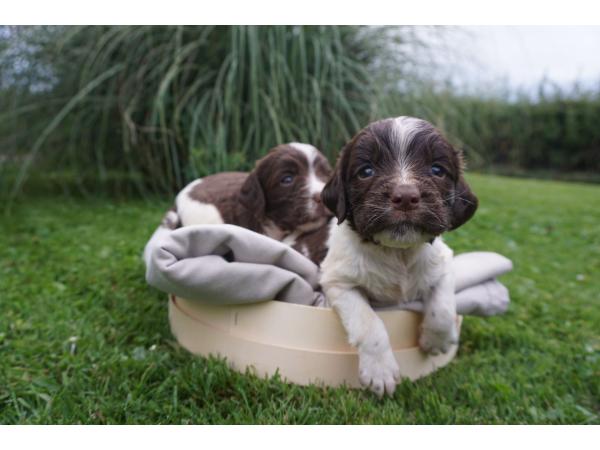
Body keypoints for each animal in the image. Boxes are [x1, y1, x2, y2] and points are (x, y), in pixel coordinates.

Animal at [318, 117, 478, 398]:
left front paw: (435, 341)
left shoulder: (444, 264)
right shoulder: (338, 282)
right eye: (366, 171)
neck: (397, 252)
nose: (405, 197)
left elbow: (443, 308)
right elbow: (370, 323)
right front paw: (380, 372)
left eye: (437, 170)